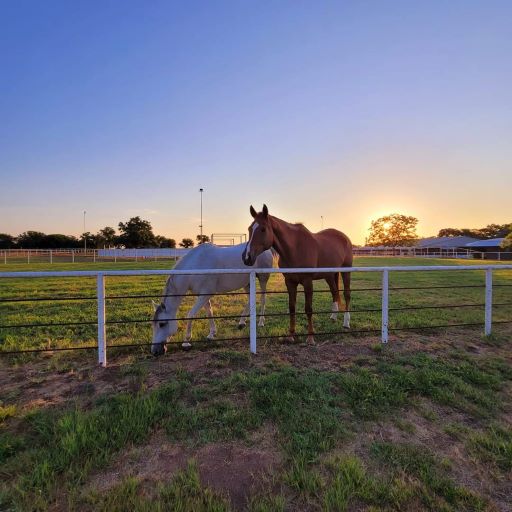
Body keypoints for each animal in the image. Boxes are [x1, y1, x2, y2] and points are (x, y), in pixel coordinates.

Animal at [243, 205, 352, 344]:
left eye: (263, 229)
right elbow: (292, 308)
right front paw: (291, 335)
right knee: (334, 292)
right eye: (250, 228)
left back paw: (346, 323)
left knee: (346, 294)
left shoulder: (307, 282)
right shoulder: (290, 282)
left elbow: (308, 309)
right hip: (329, 275)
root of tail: (345, 237)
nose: (247, 257)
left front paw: (310, 337)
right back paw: (333, 316)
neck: (295, 248)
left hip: (346, 271)